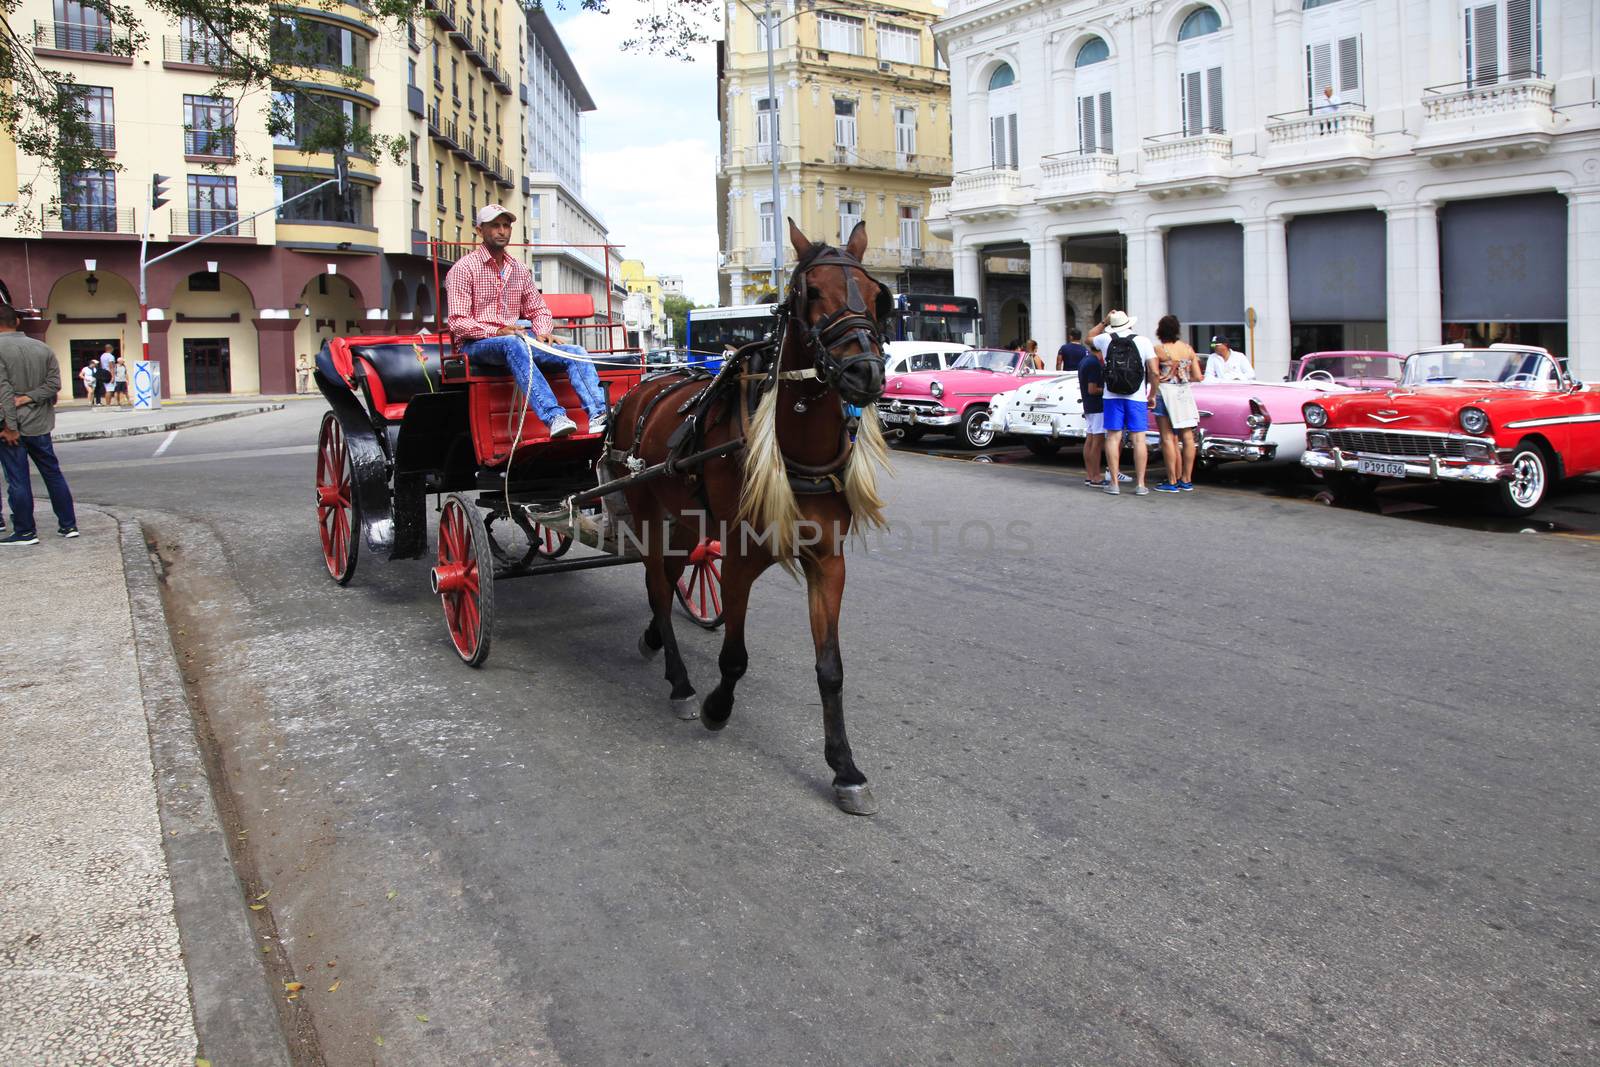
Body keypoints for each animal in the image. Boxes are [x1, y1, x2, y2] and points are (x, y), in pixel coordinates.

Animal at [604, 219, 896, 819]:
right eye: (810, 292)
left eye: (877, 296)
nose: (866, 372)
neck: (793, 445)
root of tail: (645, 386)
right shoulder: (739, 558)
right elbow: (735, 655)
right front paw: (718, 707)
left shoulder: (827, 561)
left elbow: (830, 669)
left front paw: (844, 767)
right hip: (648, 515)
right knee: (658, 588)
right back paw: (680, 684)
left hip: (687, 523)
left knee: (670, 578)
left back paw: (654, 641)